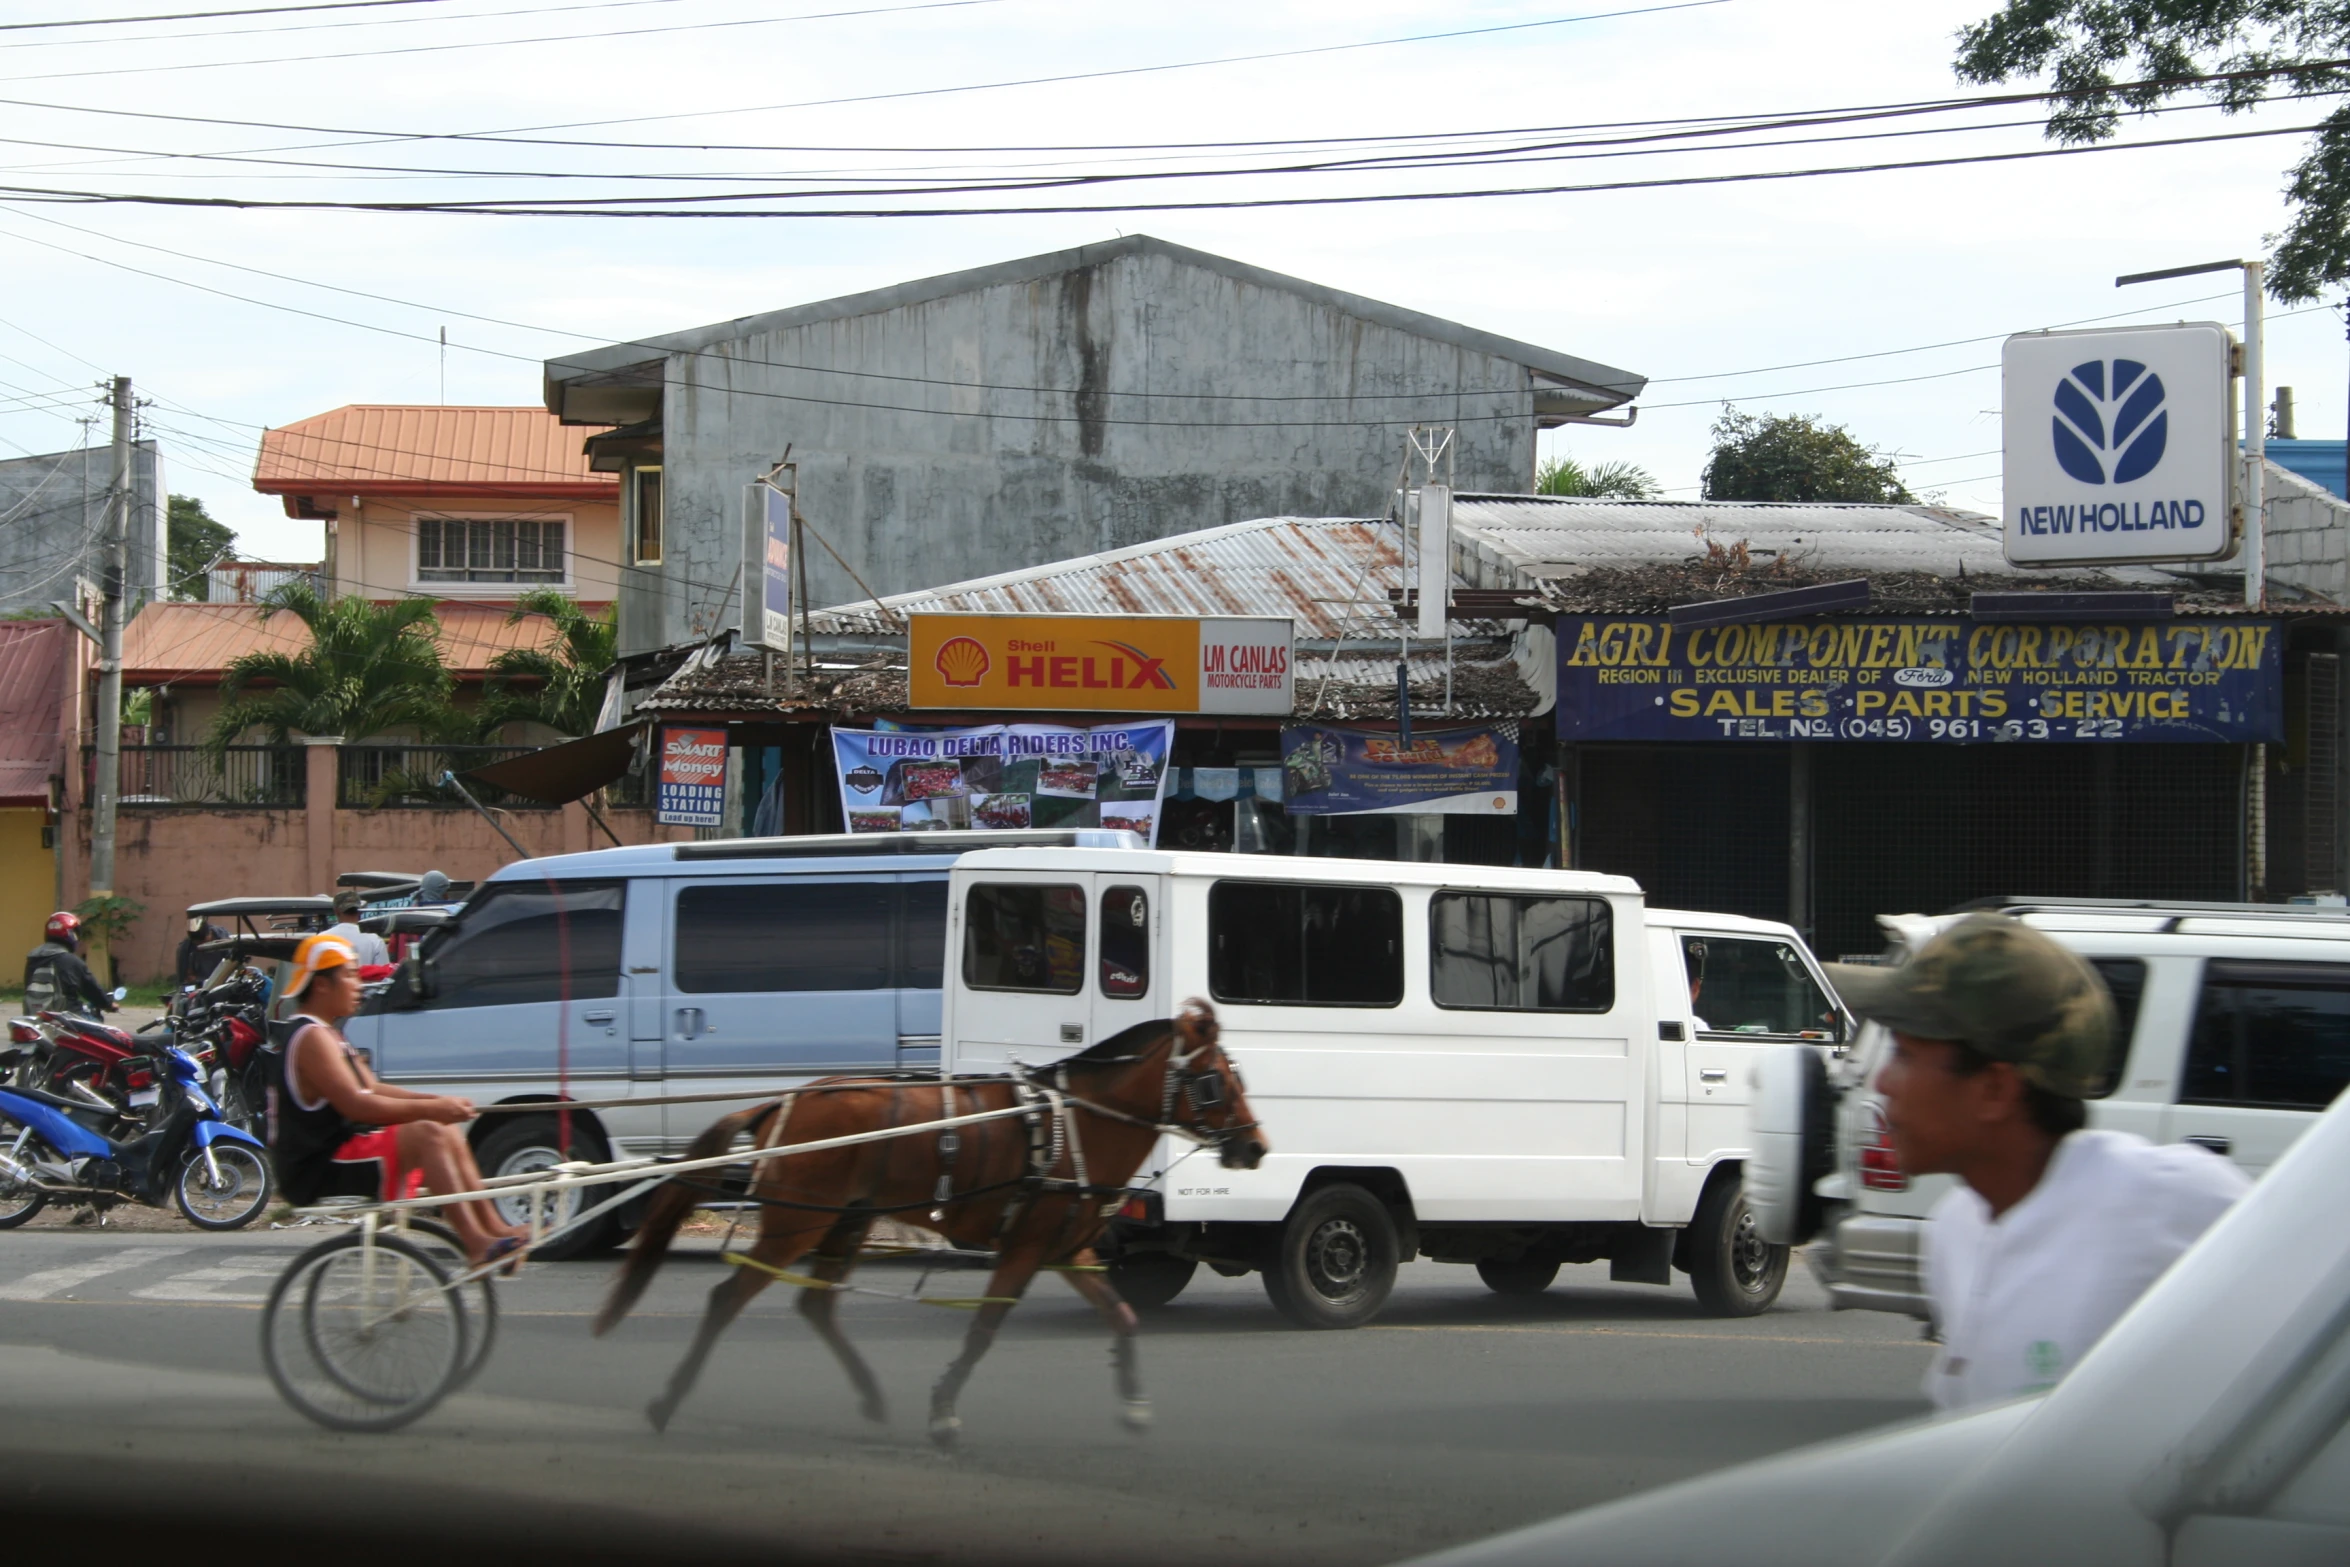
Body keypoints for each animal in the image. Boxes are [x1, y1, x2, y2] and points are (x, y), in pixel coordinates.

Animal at [596, 1005, 1278, 1447]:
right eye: (1215, 1082)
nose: (1256, 1147)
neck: (1076, 1124)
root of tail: (784, 1102)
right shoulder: (1025, 1247)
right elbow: (983, 1330)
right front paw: (945, 1411)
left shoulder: (1067, 1250)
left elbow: (1123, 1316)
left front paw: (1134, 1405)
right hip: (794, 1227)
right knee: (726, 1299)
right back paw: (668, 1399)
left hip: (844, 1224)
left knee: (817, 1308)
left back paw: (870, 1395)